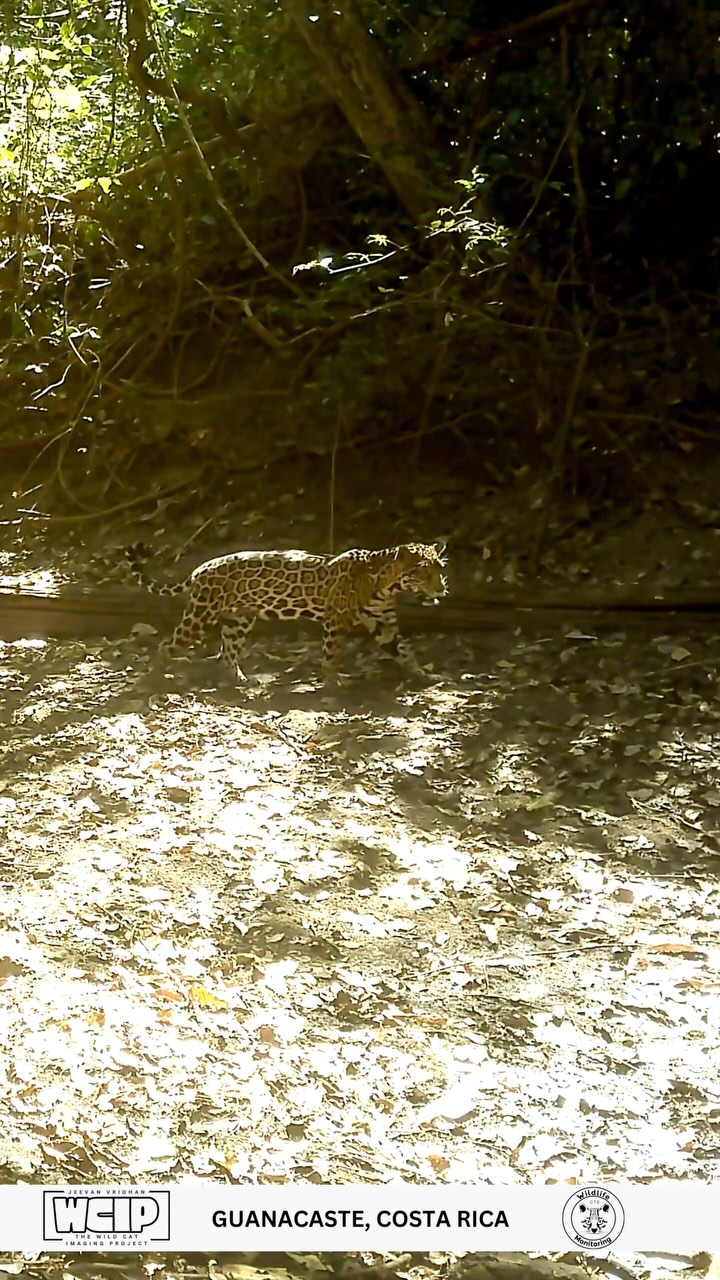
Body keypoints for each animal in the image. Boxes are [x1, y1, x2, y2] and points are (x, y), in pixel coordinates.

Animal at [125, 541, 448, 683]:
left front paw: (425, 676)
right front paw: (333, 682)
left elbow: (405, 651)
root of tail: (199, 569)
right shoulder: (335, 621)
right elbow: (332, 655)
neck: (385, 584)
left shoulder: (385, 626)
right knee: (168, 644)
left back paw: (242, 681)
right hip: (200, 615)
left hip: (238, 619)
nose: (442, 589)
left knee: (227, 651)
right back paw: (151, 677)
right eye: (423, 571)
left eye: (439, 569)